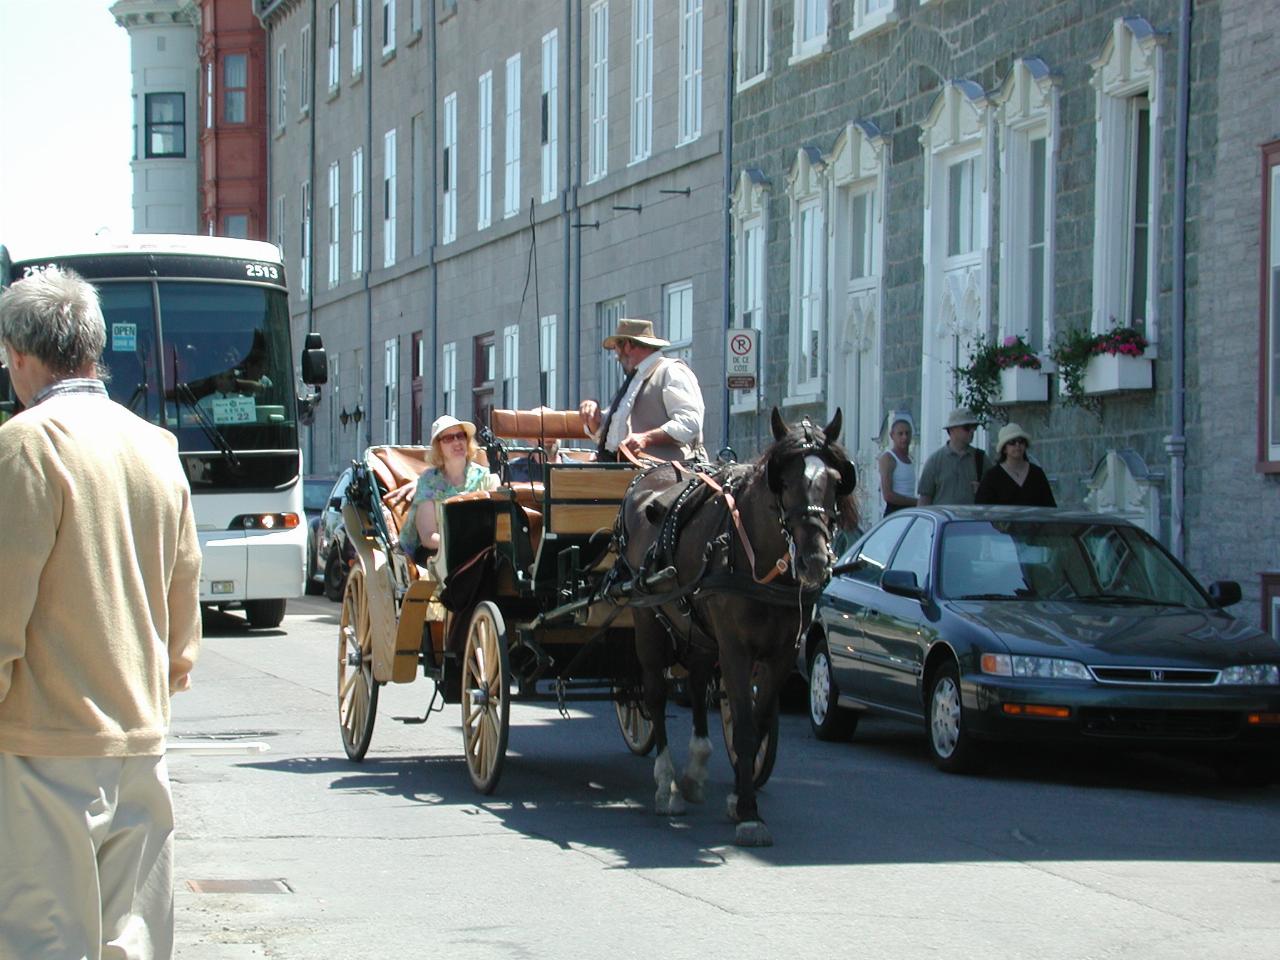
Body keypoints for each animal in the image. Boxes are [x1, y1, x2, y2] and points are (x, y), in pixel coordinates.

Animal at [611, 409, 855, 844]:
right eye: (783, 481)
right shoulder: (737, 650)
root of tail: (649, 475)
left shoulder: (780, 653)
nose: (814, 561)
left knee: (694, 686)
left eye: (835, 480)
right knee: (655, 695)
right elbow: (742, 725)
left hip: (697, 631)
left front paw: (739, 796)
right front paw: (748, 814)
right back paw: (666, 785)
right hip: (648, 620)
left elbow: (757, 723)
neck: (759, 563)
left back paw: (694, 773)